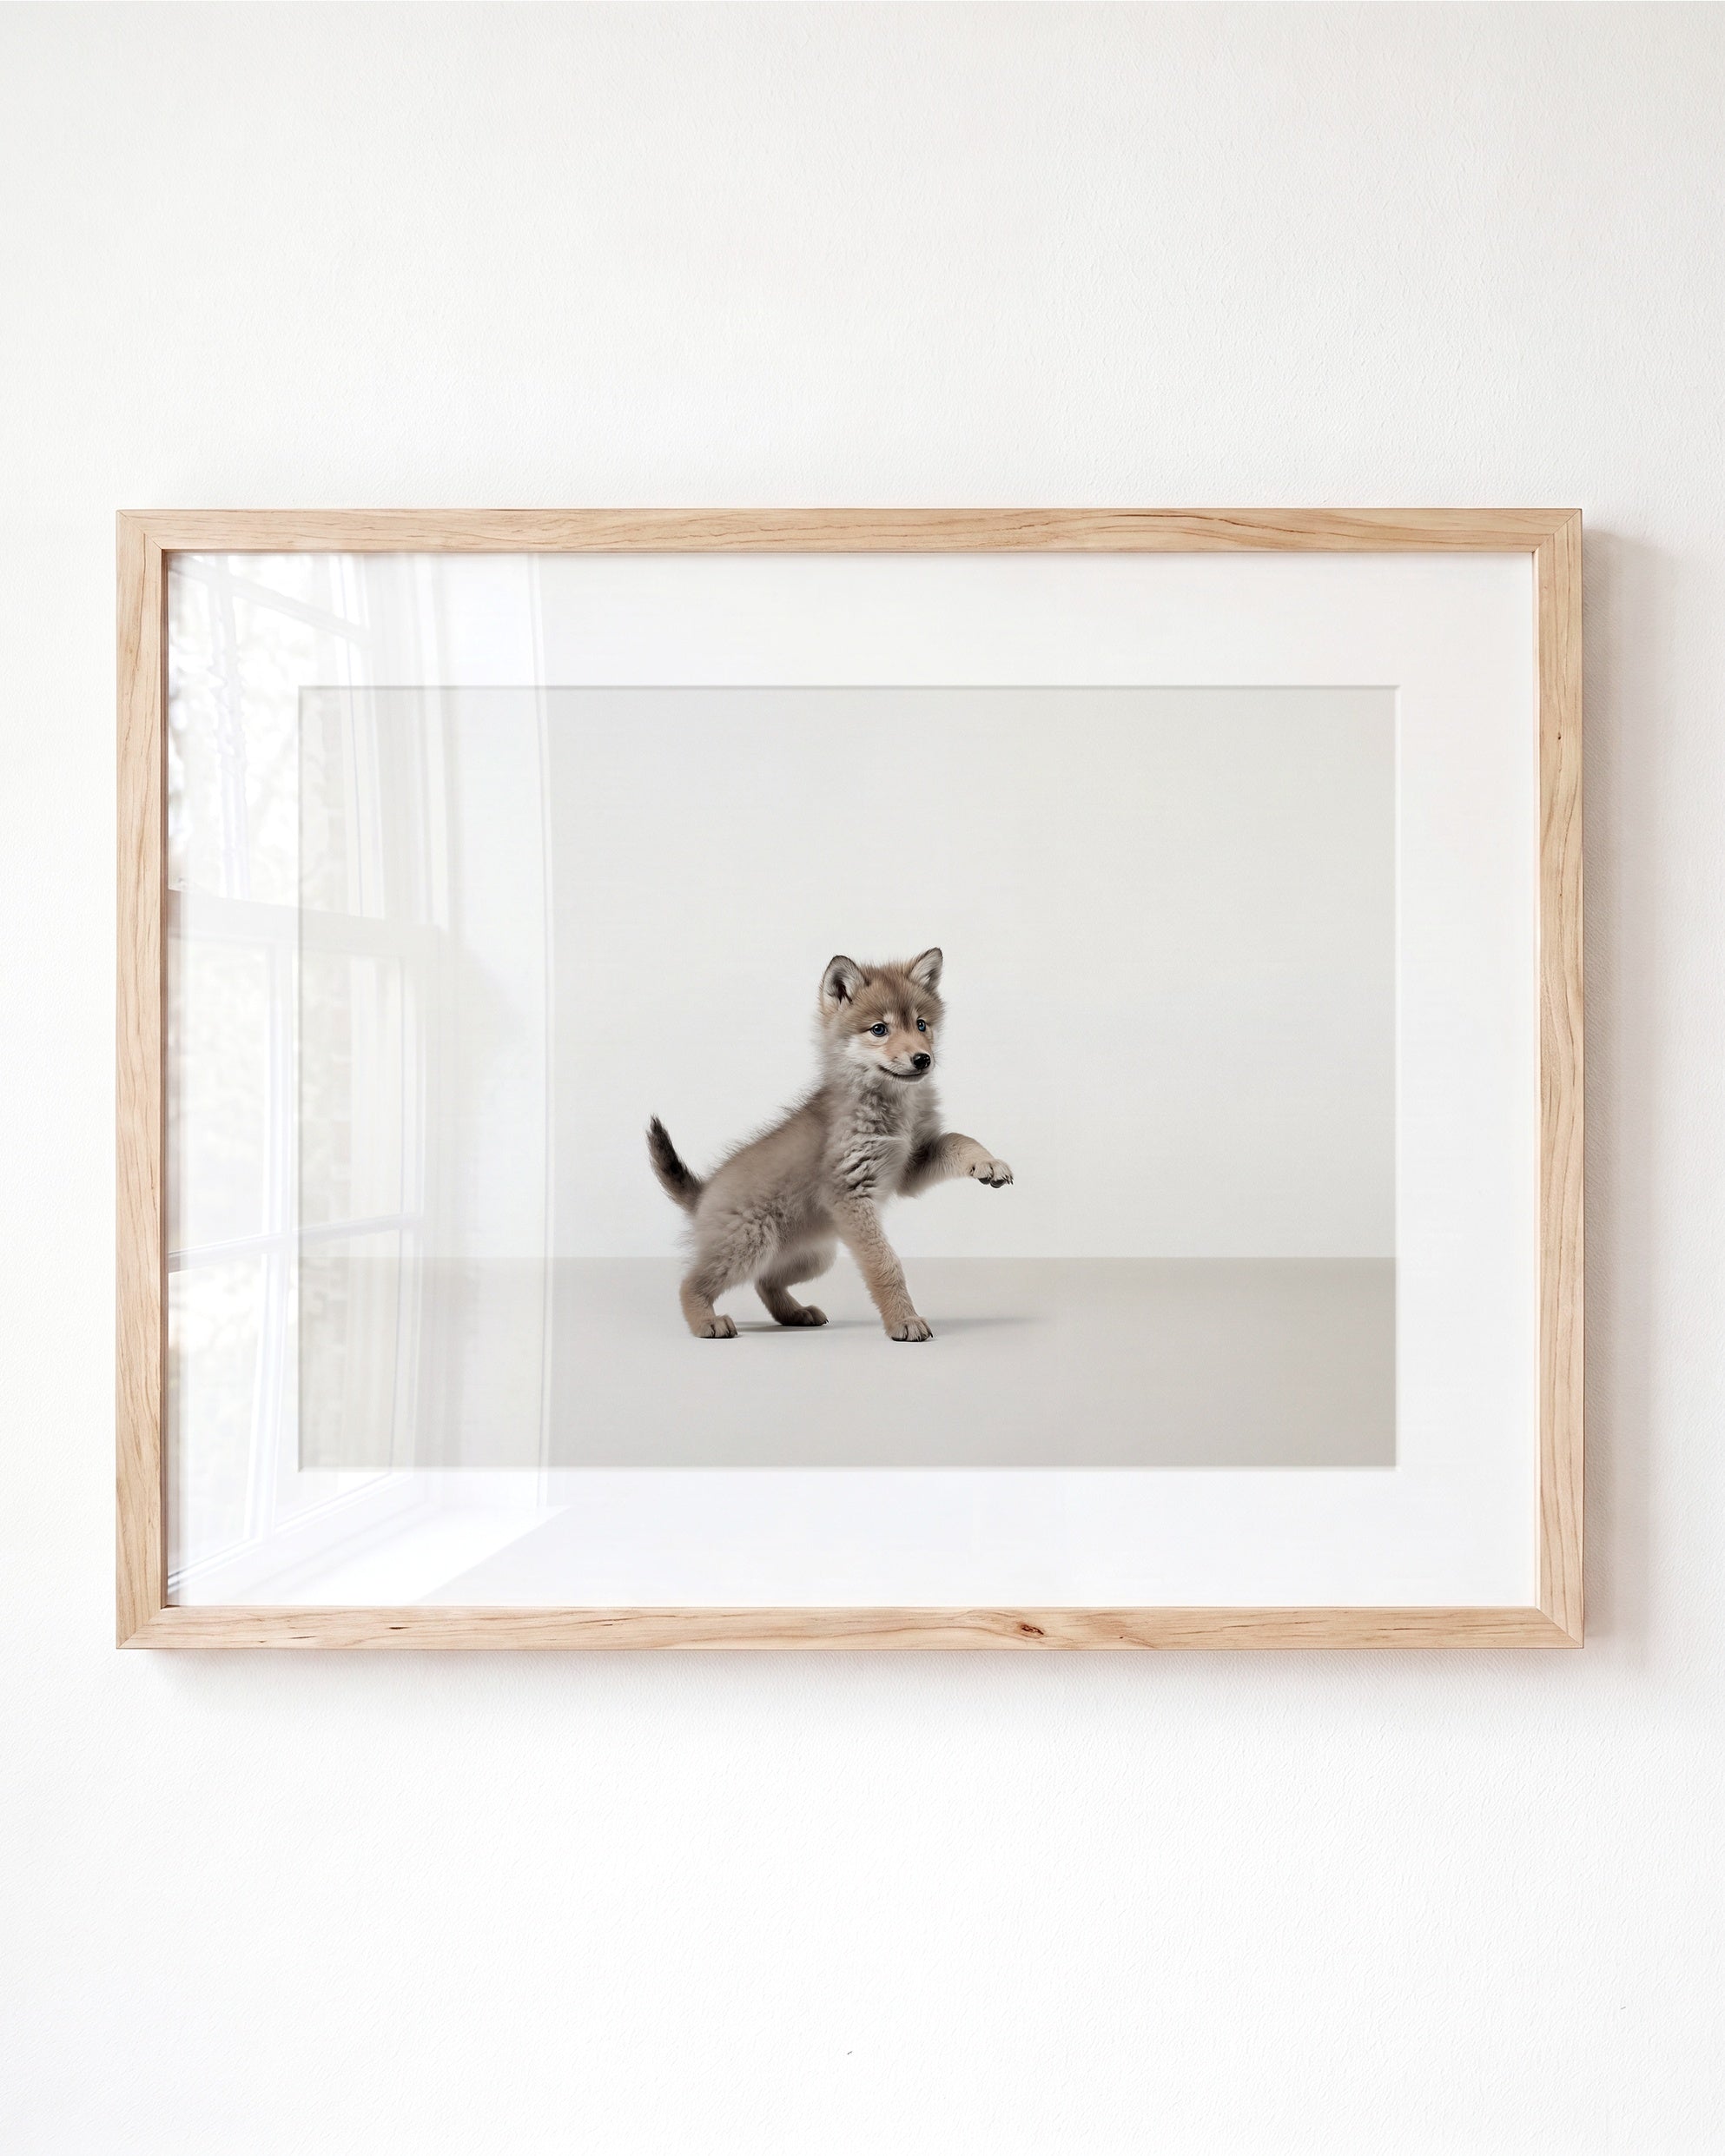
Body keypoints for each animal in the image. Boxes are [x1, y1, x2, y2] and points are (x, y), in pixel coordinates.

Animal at [646, 948, 1013, 1342]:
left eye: (921, 1024)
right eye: (879, 1029)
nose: (922, 1059)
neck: (893, 1106)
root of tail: (702, 1193)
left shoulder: (911, 1166)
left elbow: (959, 1139)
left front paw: (987, 1163)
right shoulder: (852, 1194)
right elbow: (885, 1264)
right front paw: (903, 1320)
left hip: (814, 1257)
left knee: (765, 1282)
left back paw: (795, 1313)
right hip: (749, 1246)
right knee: (691, 1283)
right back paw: (706, 1321)